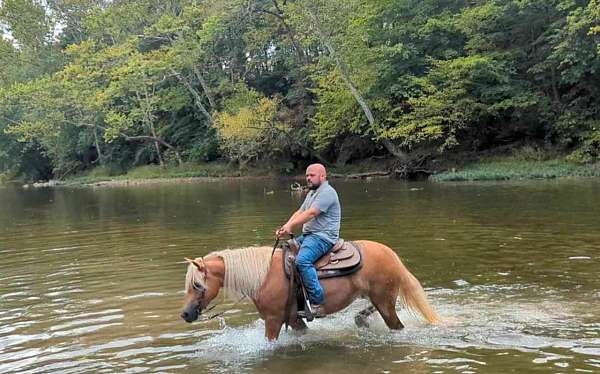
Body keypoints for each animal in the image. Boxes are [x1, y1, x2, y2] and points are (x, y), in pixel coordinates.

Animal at [180, 240, 438, 342]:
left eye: (197, 285)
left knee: (397, 326)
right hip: (377, 299)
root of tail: (392, 255)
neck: (263, 276)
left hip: (385, 303)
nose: (185, 314)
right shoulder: (293, 319)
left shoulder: (273, 320)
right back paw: (361, 319)